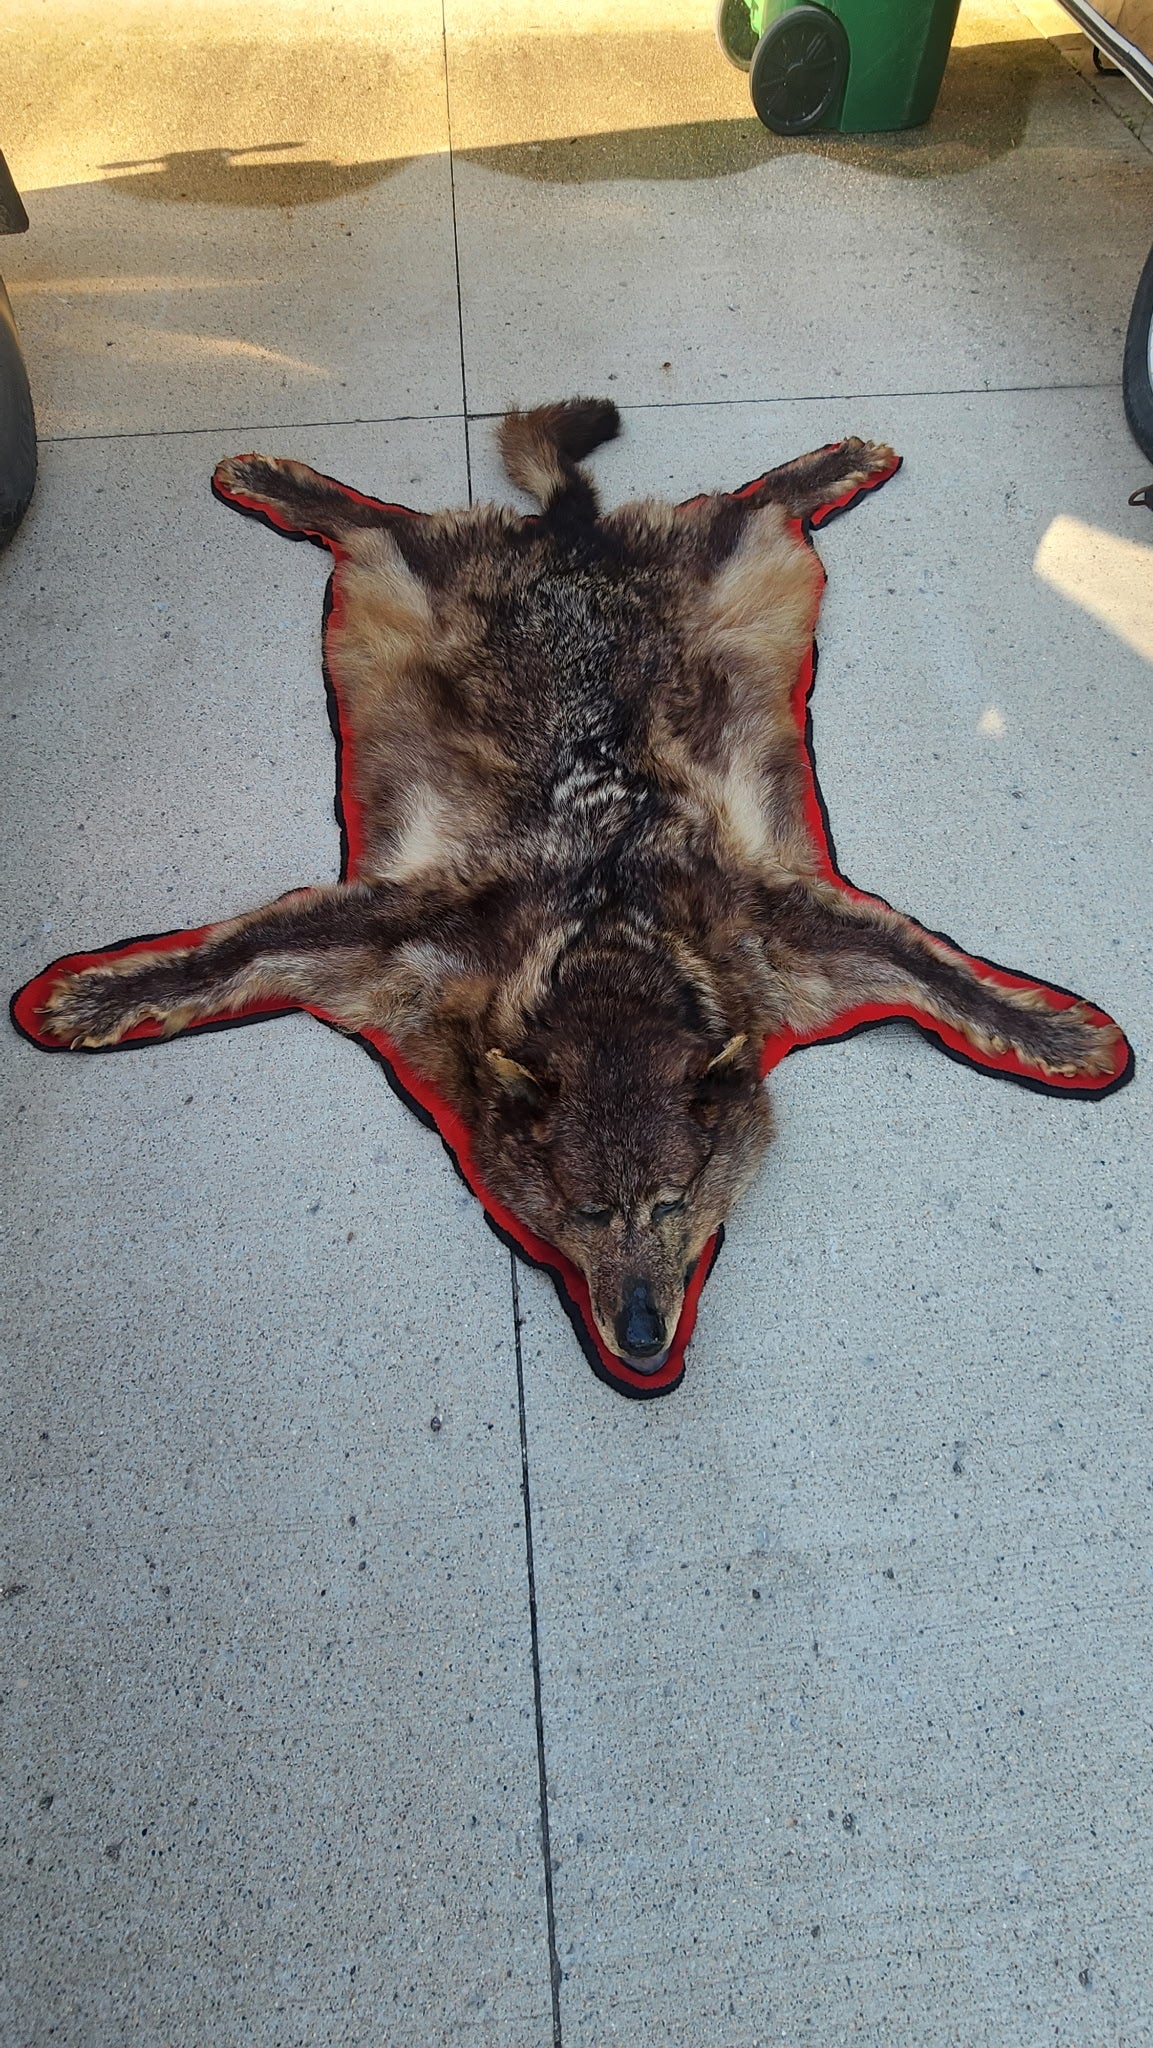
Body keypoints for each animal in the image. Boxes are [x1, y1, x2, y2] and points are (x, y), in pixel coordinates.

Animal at [36, 401, 1124, 1373]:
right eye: (586, 1210)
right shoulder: (392, 932)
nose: (643, 1341)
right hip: (411, 583)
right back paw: (284, 483)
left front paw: (1048, 1032)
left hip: (737, 576)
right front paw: (106, 993)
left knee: (749, 503)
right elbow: (229, 952)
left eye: (673, 1203)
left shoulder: (786, 931)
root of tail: (570, 538)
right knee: (376, 520)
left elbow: (941, 974)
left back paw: (829, 467)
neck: (606, 942)